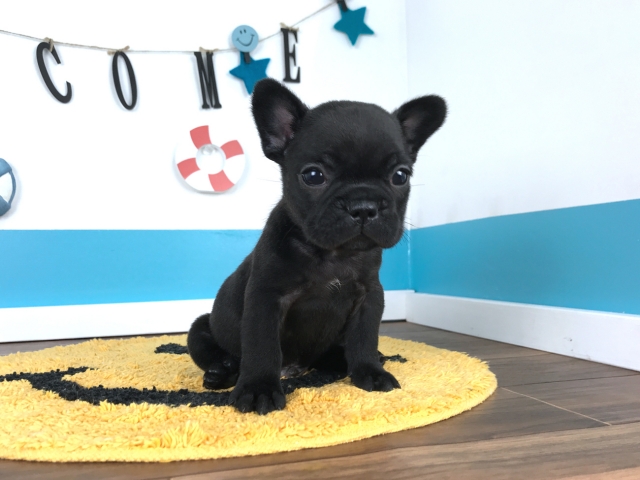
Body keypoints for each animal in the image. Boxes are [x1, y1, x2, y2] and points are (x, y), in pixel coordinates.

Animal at [187, 79, 446, 414]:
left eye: (400, 176)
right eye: (313, 175)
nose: (363, 206)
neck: (333, 254)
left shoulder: (369, 296)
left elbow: (364, 338)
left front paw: (370, 371)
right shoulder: (265, 297)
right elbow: (262, 345)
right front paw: (258, 388)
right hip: (200, 328)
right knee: (213, 351)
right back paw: (222, 371)